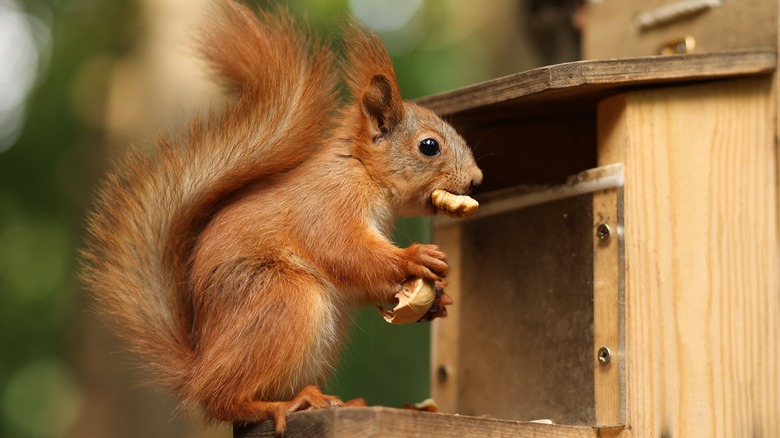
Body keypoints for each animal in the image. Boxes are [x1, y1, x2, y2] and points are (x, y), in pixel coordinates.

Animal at [80, 0, 482, 434]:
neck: (361, 171)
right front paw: (414, 258)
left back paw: (343, 401)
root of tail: (198, 366)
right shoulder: (329, 205)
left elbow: (363, 281)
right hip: (282, 300)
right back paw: (288, 404)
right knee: (222, 397)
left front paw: (438, 300)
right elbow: (344, 251)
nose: (476, 180)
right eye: (429, 146)